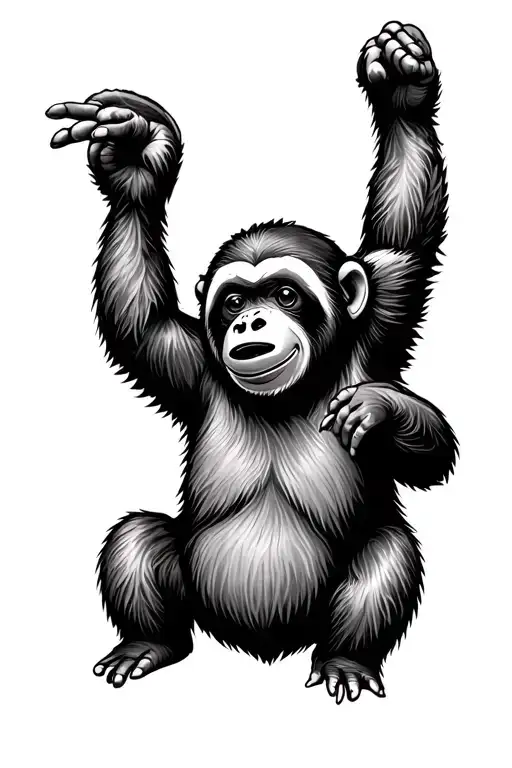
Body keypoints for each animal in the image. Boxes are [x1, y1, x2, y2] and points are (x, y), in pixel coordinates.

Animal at [46, 20, 457, 704]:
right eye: (235, 300)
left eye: (286, 294)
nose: (250, 322)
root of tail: (257, 647)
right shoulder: (187, 360)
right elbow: (139, 318)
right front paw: (138, 159)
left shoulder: (385, 306)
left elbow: (403, 241)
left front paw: (403, 90)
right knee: (137, 537)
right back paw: (148, 644)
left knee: (387, 552)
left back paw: (346, 659)